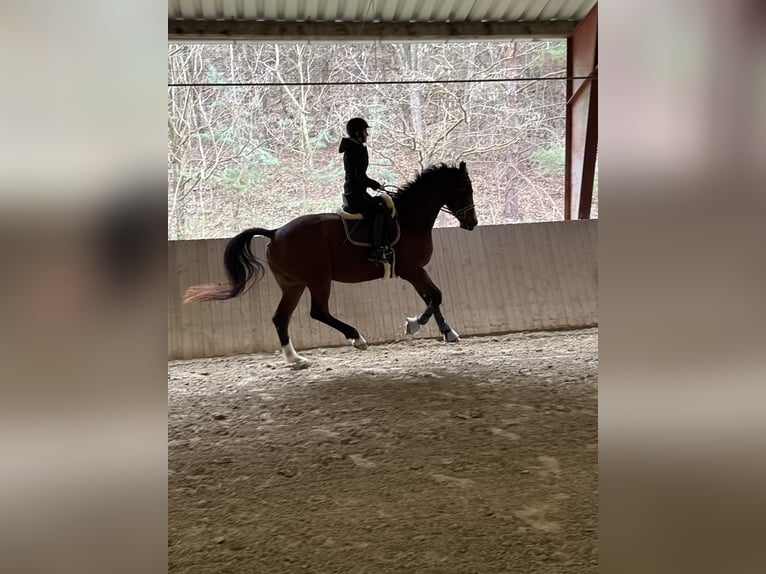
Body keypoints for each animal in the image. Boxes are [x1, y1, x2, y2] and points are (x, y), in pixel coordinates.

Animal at [183, 161, 478, 368]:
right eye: (464, 188)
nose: (472, 223)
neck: (409, 219)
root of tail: (275, 232)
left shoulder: (415, 271)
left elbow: (433, 298)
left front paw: (448, 332)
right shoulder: (412, 270)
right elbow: (435, 296)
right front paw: (414, 324)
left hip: (293, 284)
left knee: (281, 318)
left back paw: (295, 360)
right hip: (318, 280)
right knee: (318, 312)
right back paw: (356, 337)